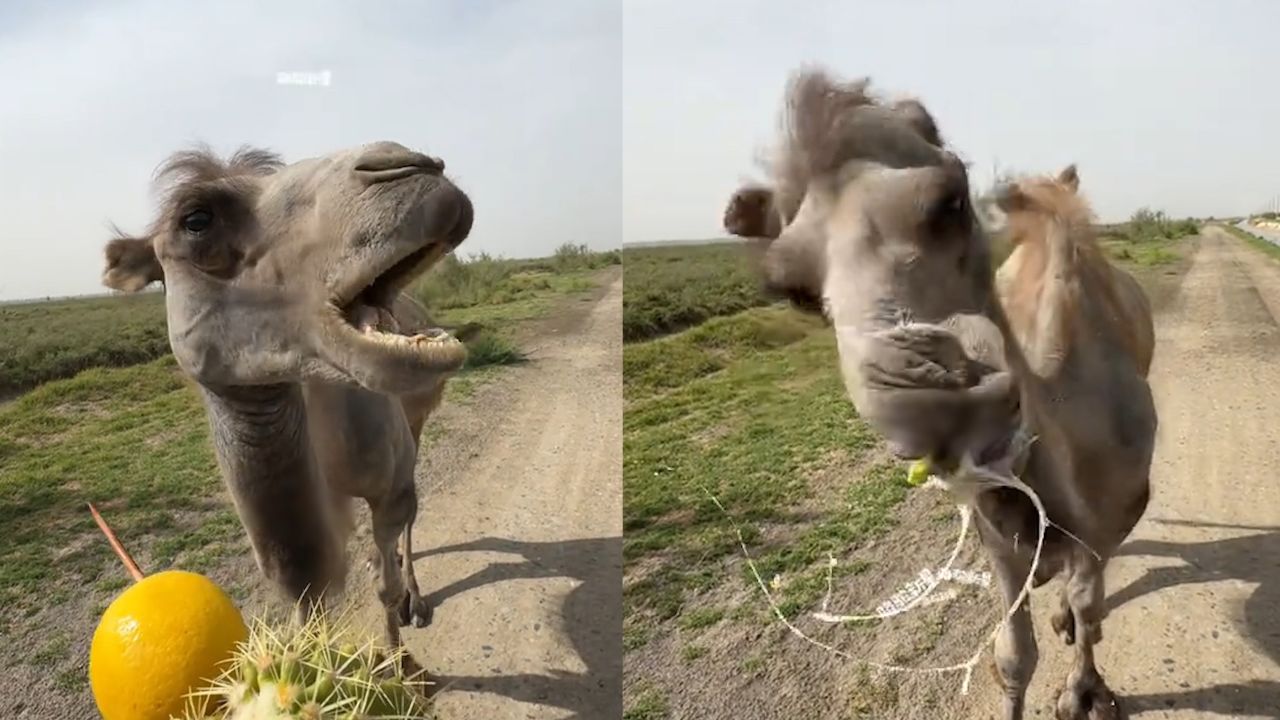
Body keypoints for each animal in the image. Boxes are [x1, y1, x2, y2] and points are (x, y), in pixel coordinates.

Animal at [97, 140, 473, 666]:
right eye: (197, 220)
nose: (411, 166)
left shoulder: (389, 482)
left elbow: (385, 575)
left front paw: (400, 663)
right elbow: (306, 604)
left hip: (416, 419)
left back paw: (413, 599)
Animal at [727, 68, 1157, 717]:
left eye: (951, 201)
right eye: (791, 288)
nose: (927, 402)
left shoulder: (1118, 507)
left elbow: (1090, 604)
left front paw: (1084, 692)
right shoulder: (997, 526)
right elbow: (1014, 653)